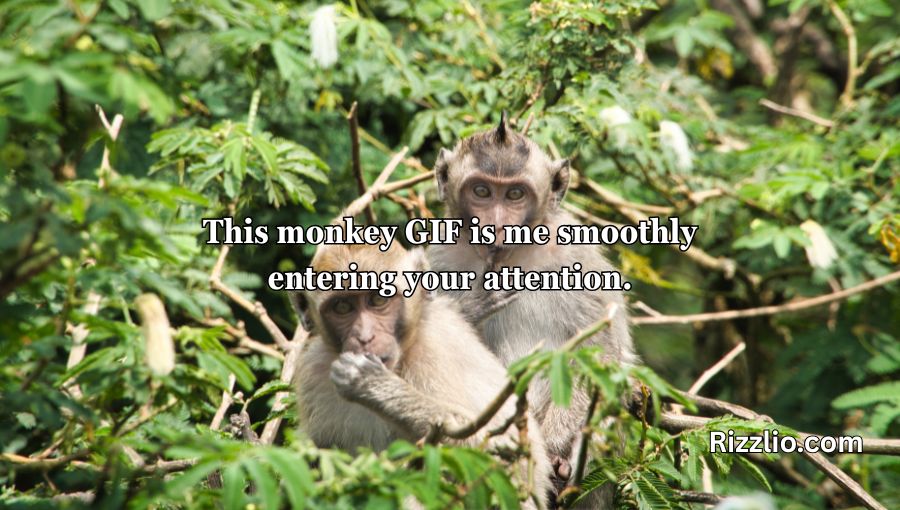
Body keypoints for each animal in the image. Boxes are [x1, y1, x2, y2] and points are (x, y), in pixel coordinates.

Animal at [294, 240, 553, 508]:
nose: (365, 338)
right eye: (342, 307)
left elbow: (509, 455)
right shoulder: (313, 369)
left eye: (378, 298)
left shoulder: (435, 350)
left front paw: (372, 386)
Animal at [427, 115, 637, 506]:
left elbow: (597, 350)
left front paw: (558, 446)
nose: (495, 224)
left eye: (514, 194)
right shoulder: (441, 257)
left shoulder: (575, 255)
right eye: (482, 192)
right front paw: (471, 306)